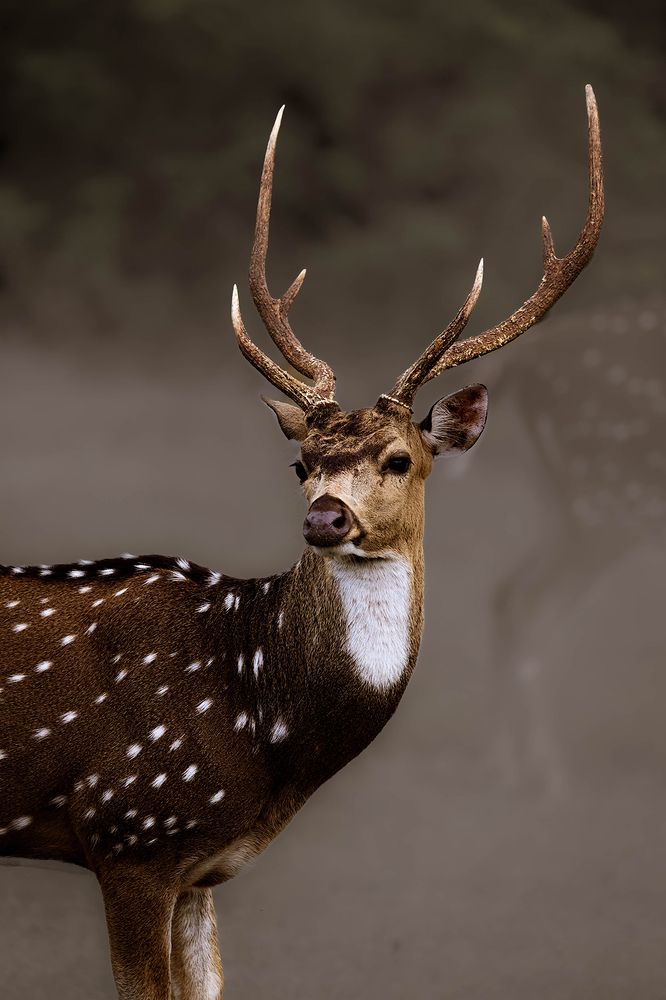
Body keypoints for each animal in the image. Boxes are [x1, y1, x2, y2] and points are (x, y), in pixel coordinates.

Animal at [0, 85, 603, 999]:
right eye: (300, 462)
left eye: (400, 458)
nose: (325, 518)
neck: (261, 725)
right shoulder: (129, 828)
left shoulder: (195, 867)